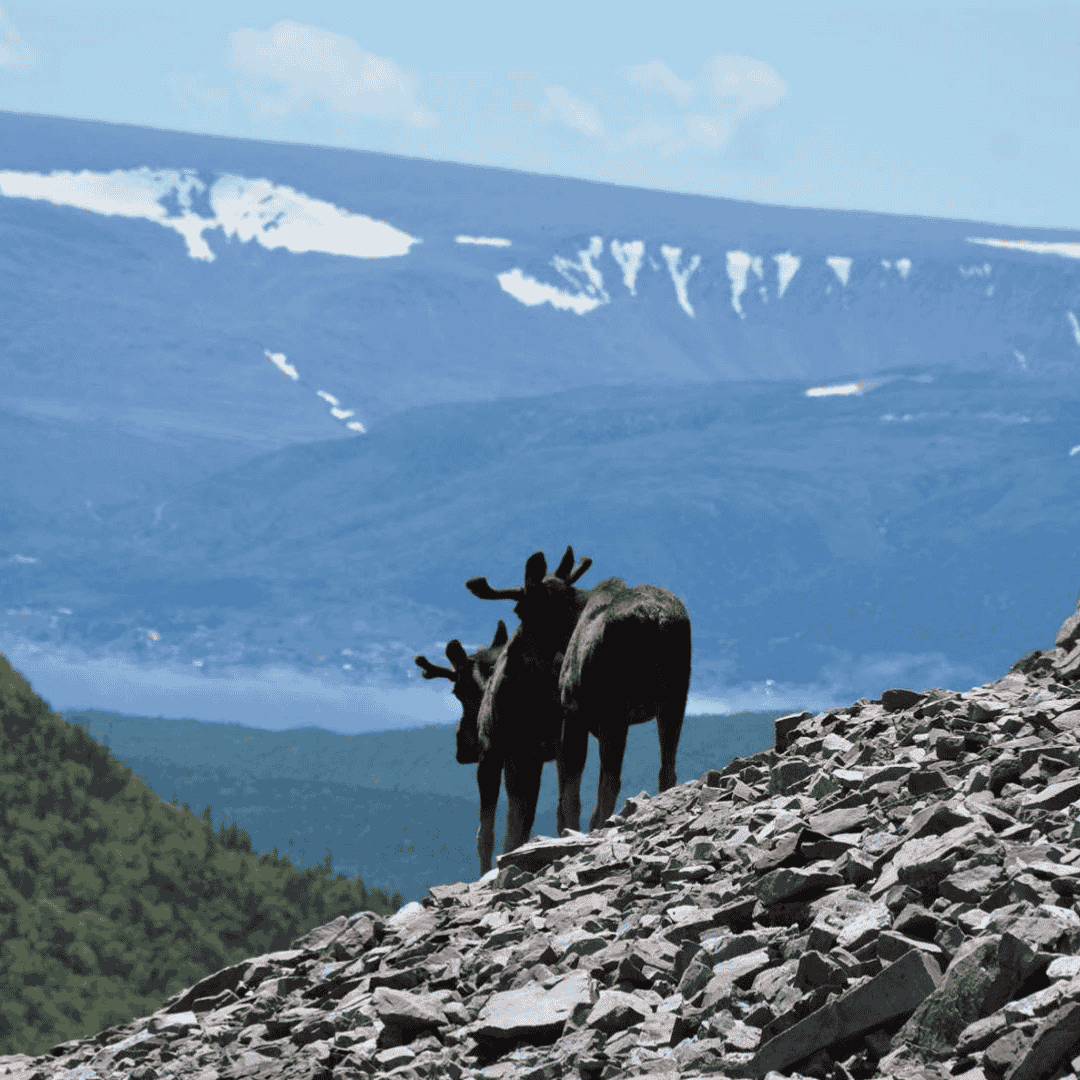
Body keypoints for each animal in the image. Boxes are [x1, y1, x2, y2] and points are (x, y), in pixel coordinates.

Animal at [467, 546, 690, 850]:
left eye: (519, 609)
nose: (505, 666)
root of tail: (657, 620)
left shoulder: (573, 713)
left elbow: (570, 798)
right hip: (675, 697)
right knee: (667, 769)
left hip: (614, 708)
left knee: (610, 781)